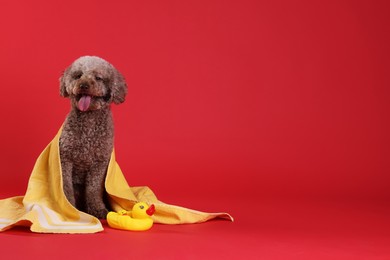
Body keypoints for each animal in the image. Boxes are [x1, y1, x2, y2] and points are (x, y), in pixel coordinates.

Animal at [58, 55, 127, 218]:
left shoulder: (99, 163)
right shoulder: (65, 159)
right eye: (78, 76)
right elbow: (66, 187)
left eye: (98, 77)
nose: (83, 85)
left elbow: (93, 189)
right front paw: (69, 207)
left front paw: (97, 209)